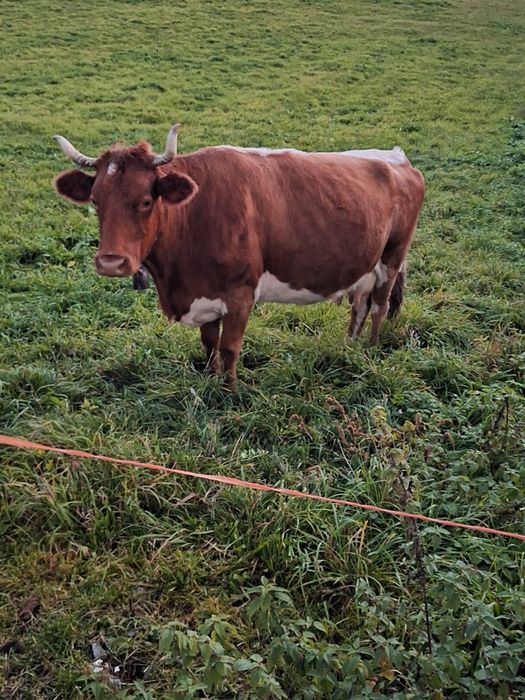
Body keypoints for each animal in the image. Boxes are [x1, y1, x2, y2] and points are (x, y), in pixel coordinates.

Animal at [53, 124, 425, 391]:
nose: (111, 262)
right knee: (359, 305)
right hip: (364, 264)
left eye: (145, 200)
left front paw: (230, 392)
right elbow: (209, 344)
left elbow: (230, 346)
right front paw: (210, 380)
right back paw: (349, 344)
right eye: (96, 201)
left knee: (380, 305)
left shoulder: (241, 293)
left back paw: (371, 349)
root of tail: (396, 158)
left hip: (393, 256)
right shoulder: (205, 294)